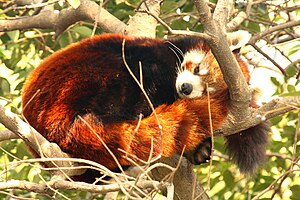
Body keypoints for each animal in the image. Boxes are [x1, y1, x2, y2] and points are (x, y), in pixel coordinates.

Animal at [22, 33, 268, 182]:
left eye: (209, 91)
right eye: (197, 69)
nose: (186, 88)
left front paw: (200, 149)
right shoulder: (150, 53)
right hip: (79, 80)